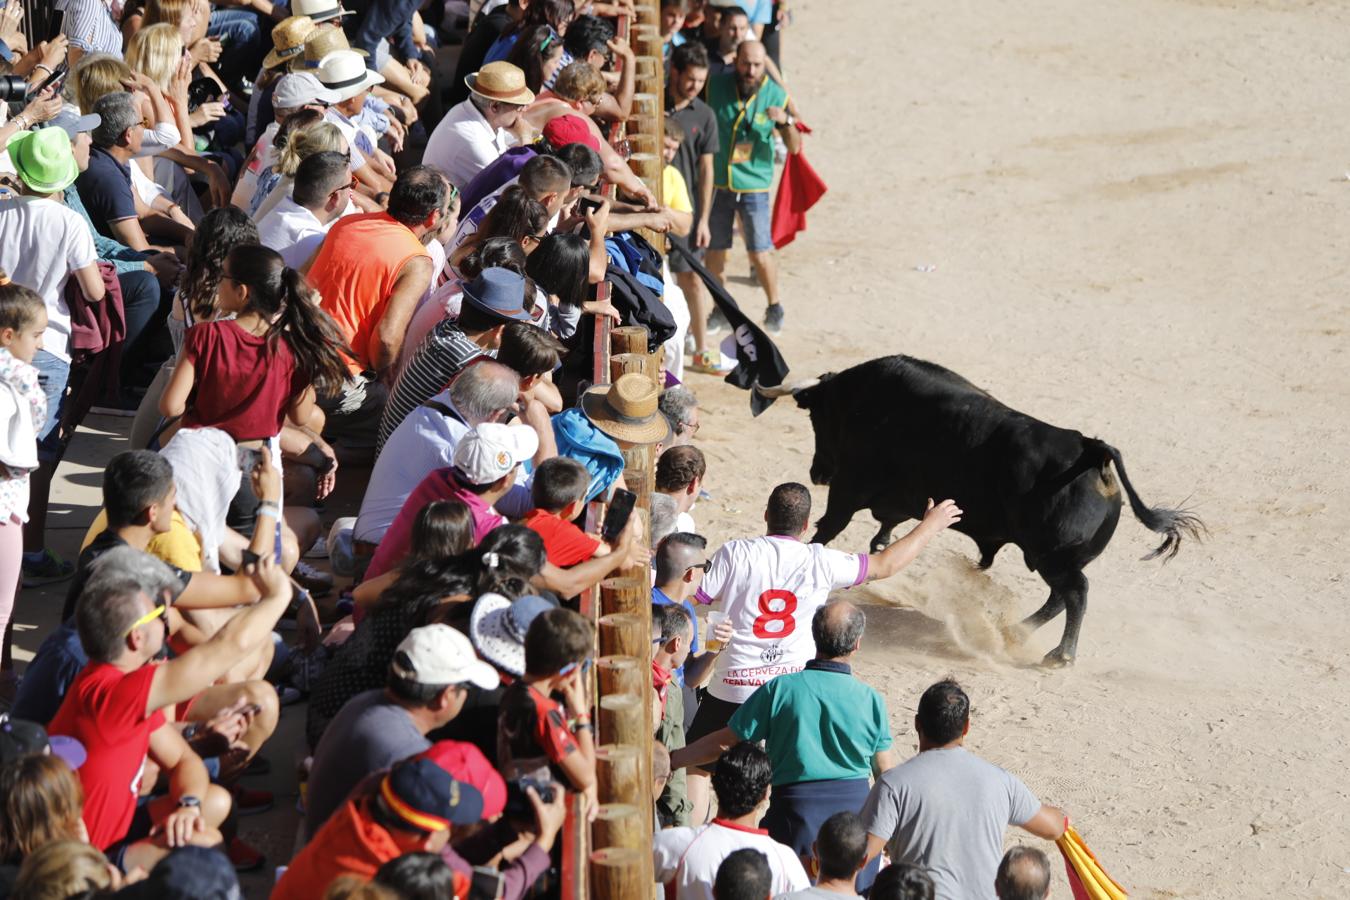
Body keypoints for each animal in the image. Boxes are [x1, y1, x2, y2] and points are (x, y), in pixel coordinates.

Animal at [756, 356, 1209, 666]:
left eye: (817, 417)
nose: (817, 473)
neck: (863, 400)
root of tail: (1092, 452)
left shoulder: (848, 490)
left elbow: (827, 532)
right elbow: (883, 531)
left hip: (1052, 556)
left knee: (1076, 593)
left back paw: (1060, 655)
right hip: (1052, 558)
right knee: (1060, 597)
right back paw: (1016, 631)